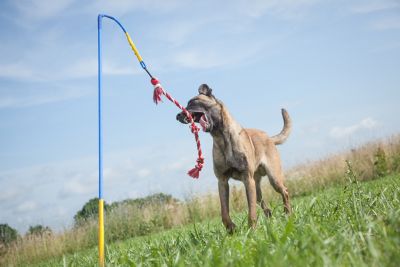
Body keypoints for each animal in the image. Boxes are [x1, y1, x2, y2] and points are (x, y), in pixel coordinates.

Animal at [177, 84, 292, 232]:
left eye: (192, 102)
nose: (177, 116)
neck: (221, 137)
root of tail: (270, 138)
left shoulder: (247, 179)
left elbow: (251, 211)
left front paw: (251, 230)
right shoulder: (222, 181)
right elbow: (224, 213)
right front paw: (231, 228)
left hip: (273, 178)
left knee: (285, 192)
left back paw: (287, 213)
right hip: (256, 186)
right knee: (264, 205)